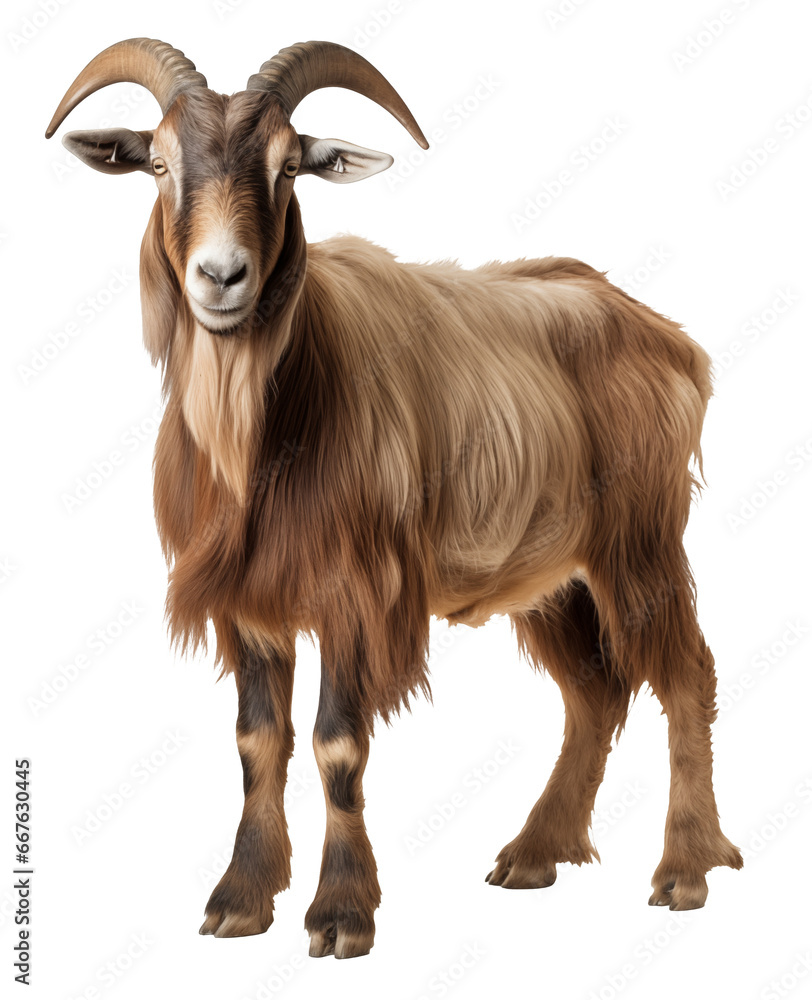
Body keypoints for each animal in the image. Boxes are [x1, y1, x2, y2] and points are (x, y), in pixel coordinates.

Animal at [47, 37, 742, 959]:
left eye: (288, 166)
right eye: (157, 163)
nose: (222, 276)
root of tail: (671, 339)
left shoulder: (357, 593)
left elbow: (337, 744)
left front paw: (341, 915)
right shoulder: (253, 602)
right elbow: (257, 742)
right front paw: (241, 899)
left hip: (639, 541)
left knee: (686, 672)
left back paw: (685, 869)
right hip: (554, 577)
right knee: (594, 694)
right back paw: (534, 853)